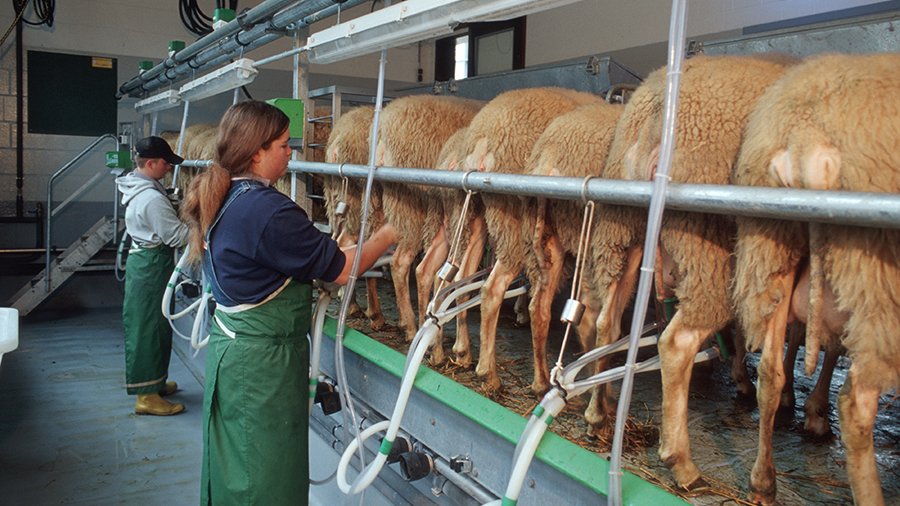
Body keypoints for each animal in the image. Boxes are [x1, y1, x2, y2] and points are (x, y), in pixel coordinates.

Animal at [458, 87, 604, 392]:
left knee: (460, 280)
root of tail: (484, 139)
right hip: (516, 222)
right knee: (494, 289)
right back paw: (495, 375)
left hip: (481, 215)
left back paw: (462, 352)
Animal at [524, 103, 624, 394]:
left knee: (539, 307)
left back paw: (541, 380)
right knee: (598, 319)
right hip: (600, 240)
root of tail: (548, 157)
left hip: (552, 238)